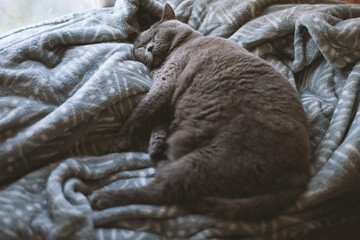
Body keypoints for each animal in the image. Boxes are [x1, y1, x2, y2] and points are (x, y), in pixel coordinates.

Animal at [89, 3, 310, 221]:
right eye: (141, 47)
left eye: (156, 35)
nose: (150, 48)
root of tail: (300, 173)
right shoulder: (169, 99)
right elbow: (158, 121)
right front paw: (156, 143)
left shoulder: (166, 83)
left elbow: (141, 112)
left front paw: (119, 143)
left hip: (213, 158)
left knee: (161, 191)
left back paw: (103, 197)